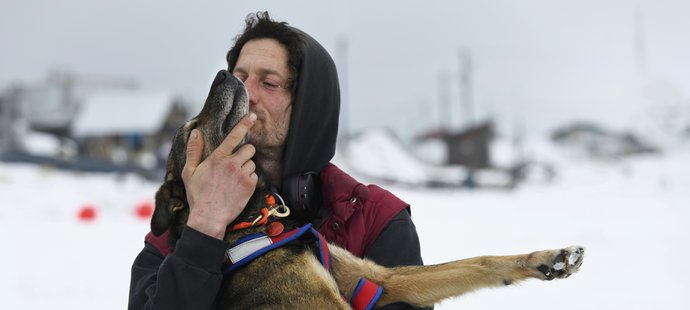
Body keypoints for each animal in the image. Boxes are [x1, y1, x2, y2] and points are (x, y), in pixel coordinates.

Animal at [150, 69, 580, 308]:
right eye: (190, 130)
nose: (223, 74)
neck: (254, 222)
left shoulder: (377, 280)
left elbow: (478, 262)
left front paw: (547, 258)